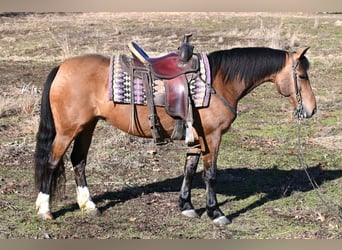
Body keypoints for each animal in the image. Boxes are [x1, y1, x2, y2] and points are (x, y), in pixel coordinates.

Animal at [33, 45, 316, 225]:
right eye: (302, 76)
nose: (312, 109)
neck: (218, 81)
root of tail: (61, 67)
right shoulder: (213, 136)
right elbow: (210, 174)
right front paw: (215, 213)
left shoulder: (198, 137)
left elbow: (189, 169)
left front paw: (187, 207)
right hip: (68, 130)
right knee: (52, 162)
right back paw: (45, 209)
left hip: (87, 127)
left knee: (78, 161)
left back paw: (88, 205)